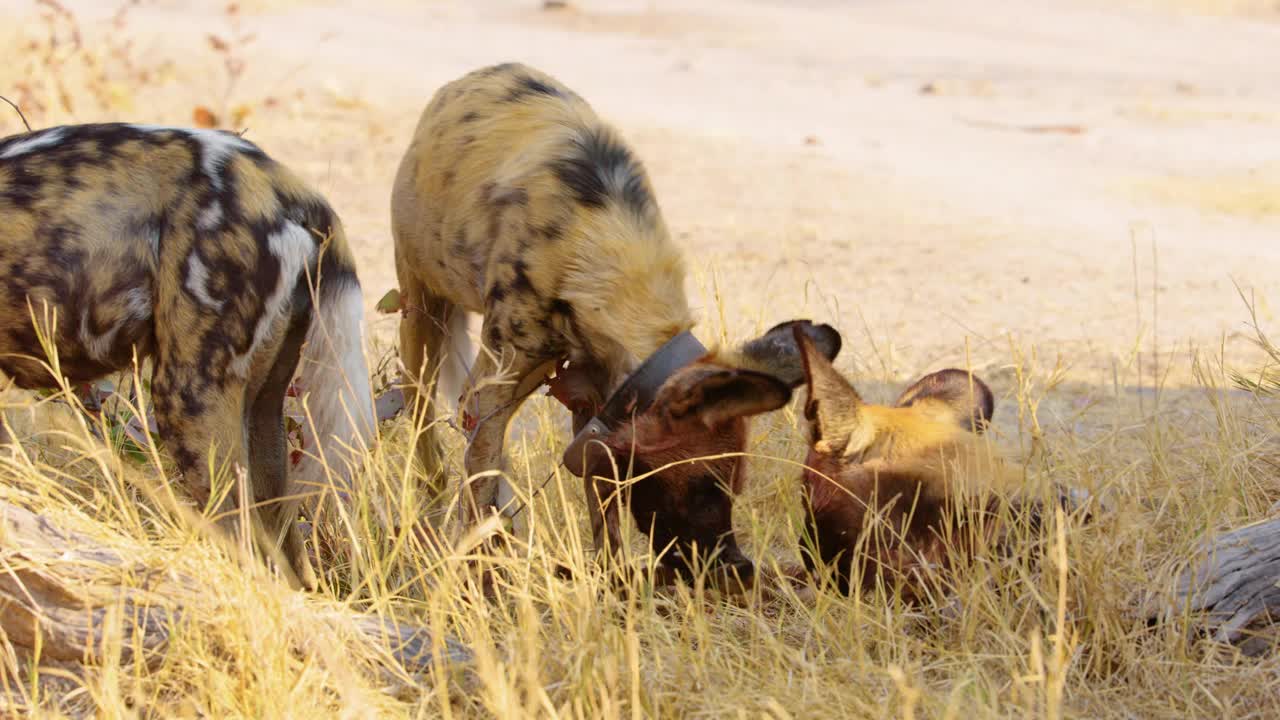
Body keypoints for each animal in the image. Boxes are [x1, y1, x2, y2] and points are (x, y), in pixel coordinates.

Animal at [389, 61, 834, 571]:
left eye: (734, 487)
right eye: (703, 487)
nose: (736, 568)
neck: (596, 245)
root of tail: (474, 76)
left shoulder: (600, 399)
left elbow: (603, 508)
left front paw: (612, 576)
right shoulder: (490, 395)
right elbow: (479, 485)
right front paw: (481, 568)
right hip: (423, 322)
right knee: (425, 428)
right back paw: (430, 512)